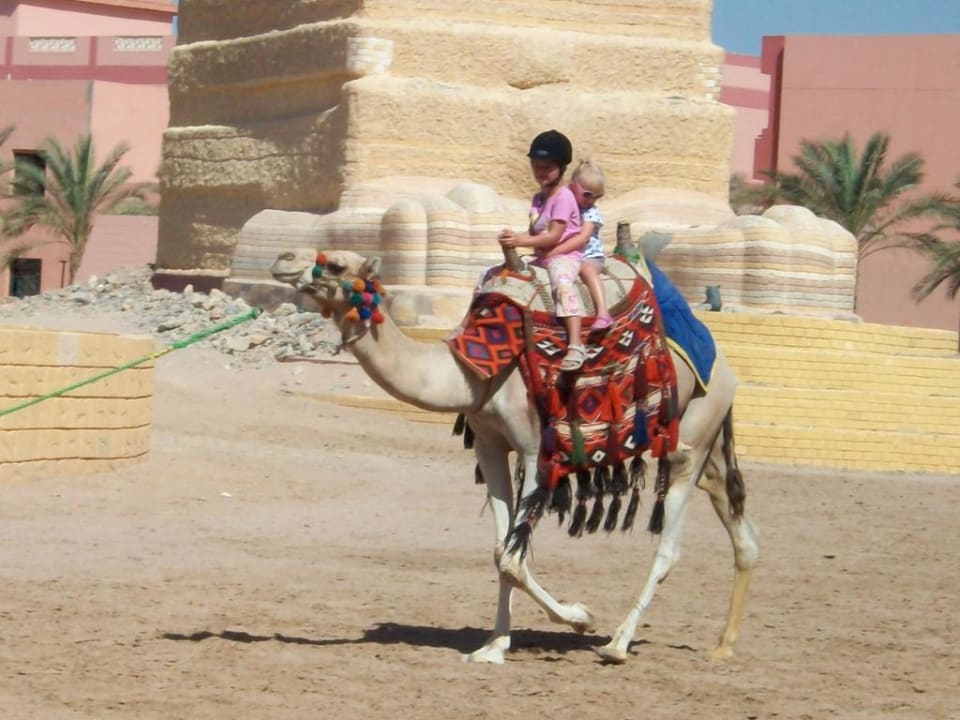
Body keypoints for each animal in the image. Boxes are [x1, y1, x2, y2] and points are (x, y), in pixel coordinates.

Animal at [270, 247, 759, 664]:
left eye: (336, 264)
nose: (283, 259)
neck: (474, 368)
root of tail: (726, 368)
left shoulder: (536, 448)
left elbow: (511, 556)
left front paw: (580, 617)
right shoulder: (490, 445)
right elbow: (500, 551)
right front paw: (494, 646)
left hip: (693, 431)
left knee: (671, 545)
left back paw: (617, 644)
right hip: (704, 442)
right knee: (741, 528)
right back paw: (724, 645)